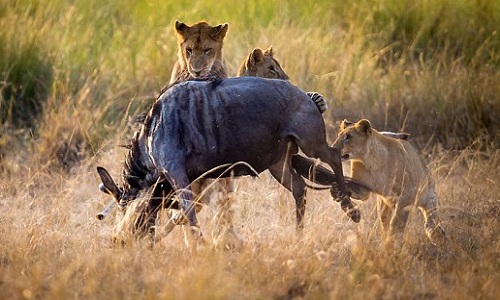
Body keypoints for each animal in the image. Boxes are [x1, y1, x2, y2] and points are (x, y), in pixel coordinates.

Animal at [96, 76, 364, 240]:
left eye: (124, 209)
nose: (120, 241)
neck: (150, 133)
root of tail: (307, 96)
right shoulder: (184, 179)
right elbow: (183, 213)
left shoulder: (176, 173)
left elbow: (189, 214)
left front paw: (200, 246)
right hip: (278, 164)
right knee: (300, 188)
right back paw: (298, 234)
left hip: (311, 144)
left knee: (334, 156)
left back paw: (351, 209)